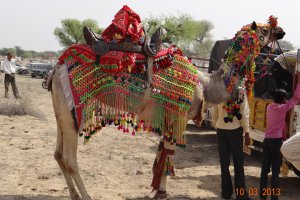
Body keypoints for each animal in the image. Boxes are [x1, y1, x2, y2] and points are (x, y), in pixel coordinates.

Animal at [47, 5, 286, 199]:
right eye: (264, 30)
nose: (281, 30)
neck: (205, 84)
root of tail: (56, 68)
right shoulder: (176, 115)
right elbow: (168, 154)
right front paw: (162, 192)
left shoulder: (165, 117)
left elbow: (161, 154)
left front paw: (156, 190)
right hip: (73, 110)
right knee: (69, 159)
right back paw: (85, 195)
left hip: (61, 112)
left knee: (58, 154)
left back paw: (74, 194)